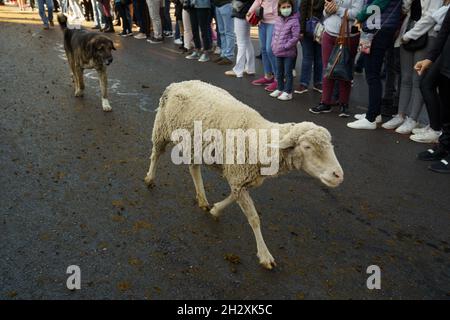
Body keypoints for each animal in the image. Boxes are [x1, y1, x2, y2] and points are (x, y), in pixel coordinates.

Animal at [145, 79, 344, 268]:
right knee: (156, 154)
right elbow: (254, 218)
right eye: (307, 146)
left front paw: (216, 209)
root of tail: (177, 83)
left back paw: (202, 199)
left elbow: (233, 197)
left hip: (195, 144)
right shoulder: (238, 176)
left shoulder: (242, 179)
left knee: (193, 168)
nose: (338, 175)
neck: (260, 140)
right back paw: (150, 179)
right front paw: (265, 255)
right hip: (161, 128)